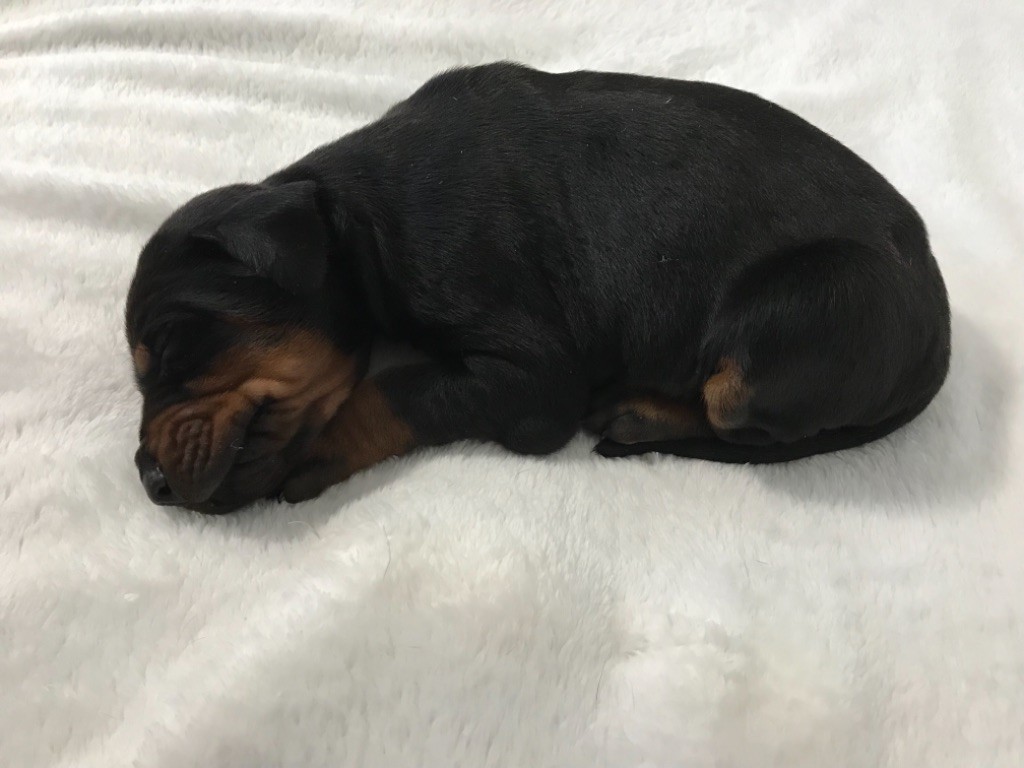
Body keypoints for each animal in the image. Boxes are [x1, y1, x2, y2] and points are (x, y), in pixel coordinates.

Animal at [125, 62, 951, 512]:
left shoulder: (532, 376)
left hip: (783, 333)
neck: (356, 212)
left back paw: (639, 411)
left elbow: (394, 390)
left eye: (173, 347)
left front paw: (314, 450)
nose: (150, 480)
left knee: (736, 415)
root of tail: (939, 346)